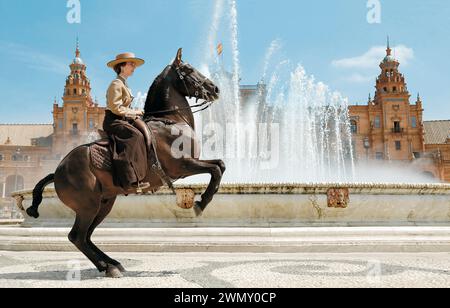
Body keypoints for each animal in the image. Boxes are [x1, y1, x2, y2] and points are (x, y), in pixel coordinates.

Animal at [26, 48, 227, 280]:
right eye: (188, 69)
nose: (215, 88)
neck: (171, 121)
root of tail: (57, 171)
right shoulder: (181, 166)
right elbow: (216, 169)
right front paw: (200, 204)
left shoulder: (189, 164)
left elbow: (220, 165)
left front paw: (202, 200)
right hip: (88, 206)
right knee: (77, 236)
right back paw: (109, 267)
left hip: (104, 203)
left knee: (86, 236)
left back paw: (112, 263)